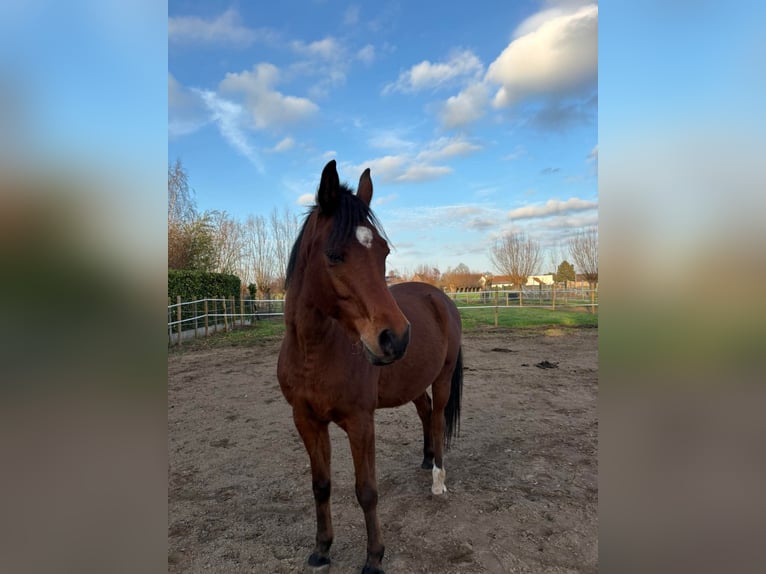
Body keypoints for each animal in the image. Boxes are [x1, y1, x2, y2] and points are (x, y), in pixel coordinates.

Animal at [277, 160, 463, 574]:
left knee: (438, 418)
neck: (315, 352)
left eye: (384, 251)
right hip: (414, 383)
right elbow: (321, 485)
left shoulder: (361, 422)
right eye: (334, 255)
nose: (396, 337)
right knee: (426, 412)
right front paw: (322, 549)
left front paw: (374, 558)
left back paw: (438, 480)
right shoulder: (306, 420)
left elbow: (366, 491)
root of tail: (441, 297)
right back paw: (426, 460)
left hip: (443, 378)